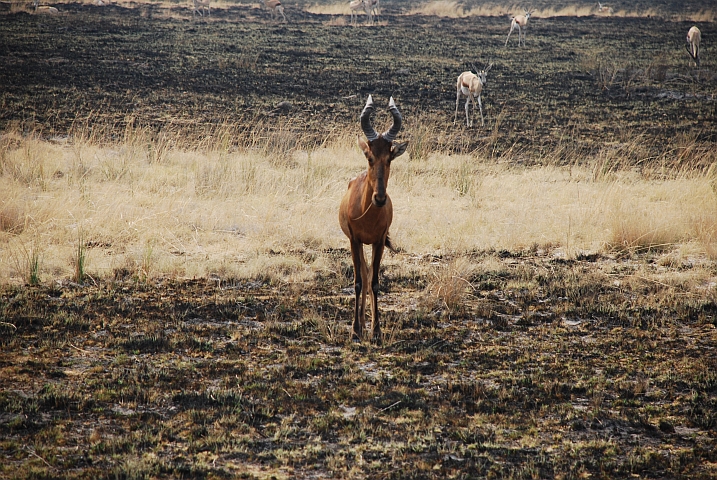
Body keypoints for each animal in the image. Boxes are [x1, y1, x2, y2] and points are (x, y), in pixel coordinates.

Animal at [338, 94, 406, 342]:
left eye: (390, 158)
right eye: (369, 156)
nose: (380, 198)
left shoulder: (378, 242)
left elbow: (375, 283)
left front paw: (376, 331)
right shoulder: (354, 241)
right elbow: (358, 282)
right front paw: (355, 330)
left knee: (369, 277)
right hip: (357, 245)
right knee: (363, 277)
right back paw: (360, 325)